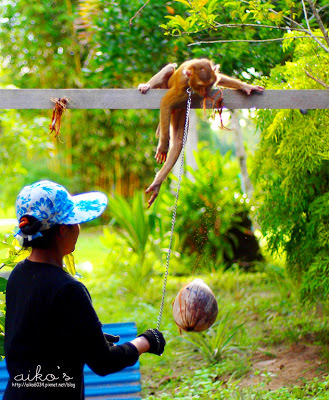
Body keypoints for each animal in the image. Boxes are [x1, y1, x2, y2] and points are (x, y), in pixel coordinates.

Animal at [138, 59, 264, 206]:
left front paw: (246, 86)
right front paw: (163, 146)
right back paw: (146, 86)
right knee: (170, 68)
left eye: (208, 86)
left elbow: (220, 78)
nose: (205, 92)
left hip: (181, 108)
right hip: (172, 93)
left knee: (179, 141)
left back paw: (158, 182)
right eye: (201, 85)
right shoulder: (183, 88)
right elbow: (165, 103)